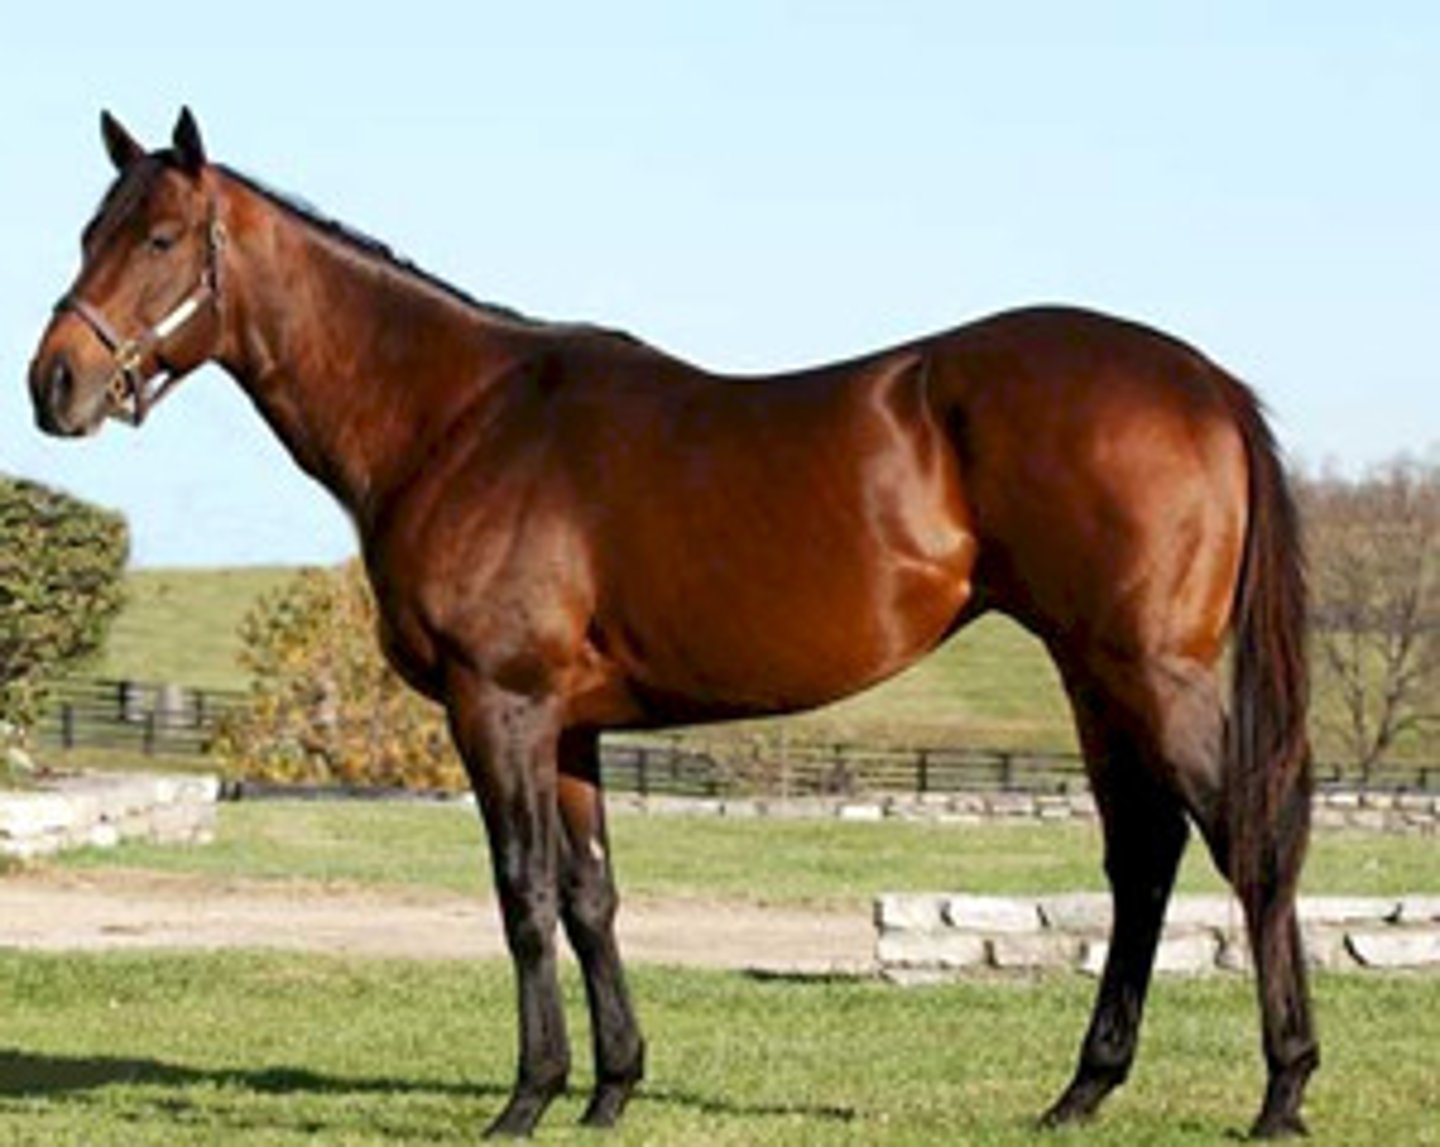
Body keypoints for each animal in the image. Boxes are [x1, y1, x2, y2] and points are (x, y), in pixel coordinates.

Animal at [28, 109, 1317, 1139]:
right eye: (87, 230)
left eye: (156, 239)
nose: (54, 385)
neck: (456, 418)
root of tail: (1203, 382)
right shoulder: (571, 725)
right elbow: (591, 896)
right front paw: (611, 1088)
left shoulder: (498, 705)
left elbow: (523, 892)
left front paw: (526, 1097)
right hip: (1093, 674)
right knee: (1144, 855)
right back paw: (1083, 1090)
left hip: (1150, 670)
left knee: (1246, 844)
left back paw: (1282, 1090)